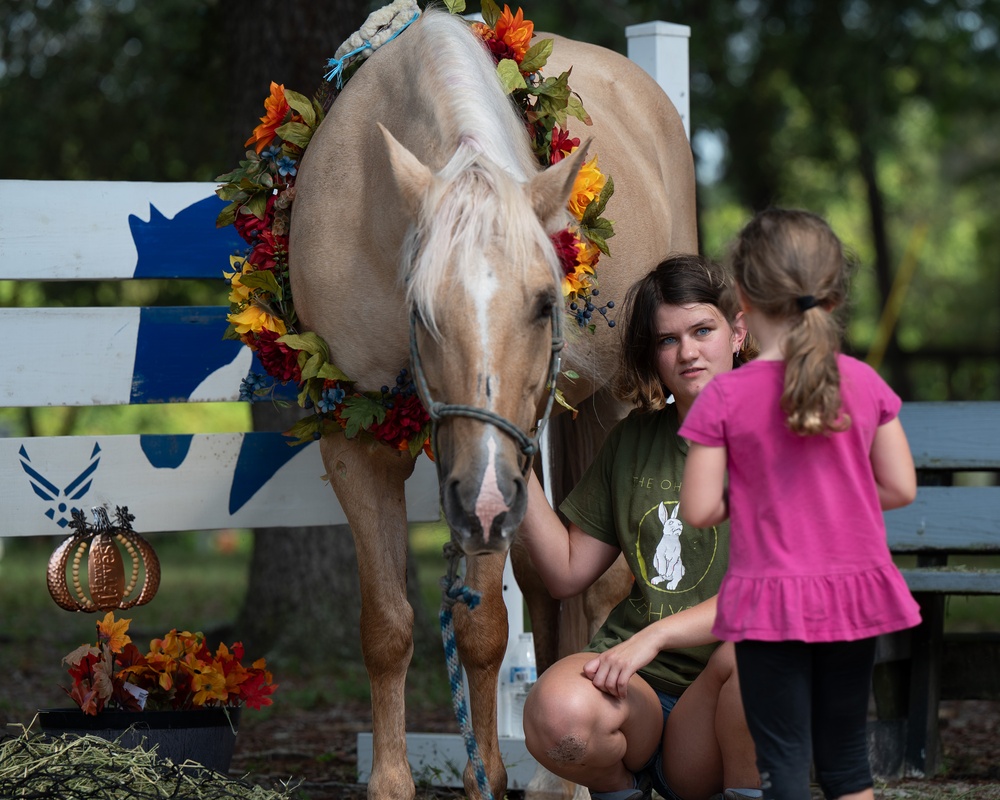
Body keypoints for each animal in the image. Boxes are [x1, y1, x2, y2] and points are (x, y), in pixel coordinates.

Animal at [290, 7, 696, 800]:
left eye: (544, 303)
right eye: (419, 310)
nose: (480, 501)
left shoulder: (505, 462)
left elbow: (483, 633)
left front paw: (487, 776)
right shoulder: (353, 437)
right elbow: (386, 624)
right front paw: (392, 781)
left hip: (620, 402)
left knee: (598, 588)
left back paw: (560, 781)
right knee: (549, 585)